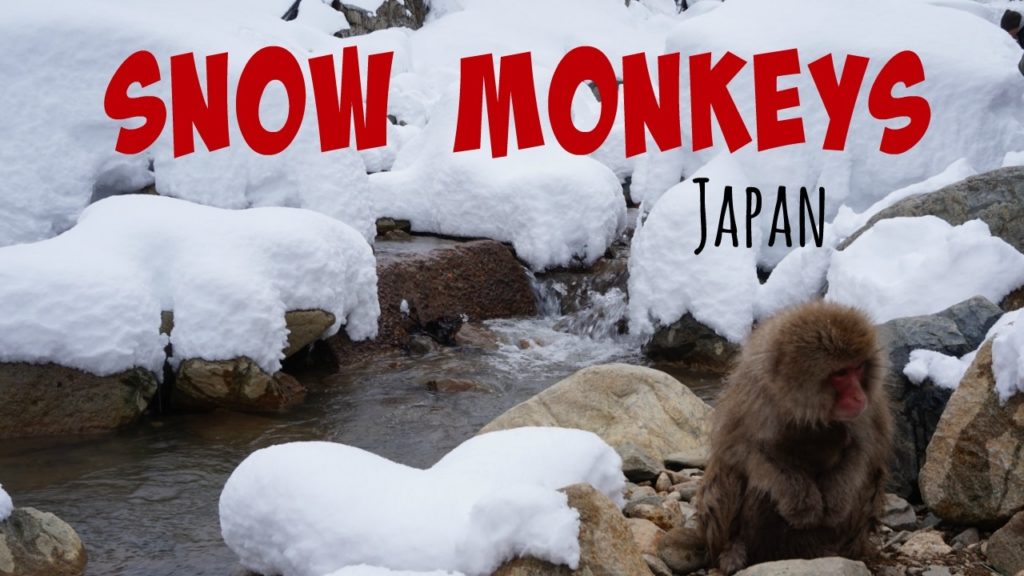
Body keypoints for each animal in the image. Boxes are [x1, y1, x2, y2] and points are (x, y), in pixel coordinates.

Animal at [692, 300, 893, 574]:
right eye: (841, 373)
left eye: (858, 368)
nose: (858, 396)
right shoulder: (754, 398)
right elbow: (744, 452)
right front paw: (803, 505)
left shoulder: (868, 410)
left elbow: (864, 450)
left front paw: (836, 500)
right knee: (734, 477)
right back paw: (736, 549)